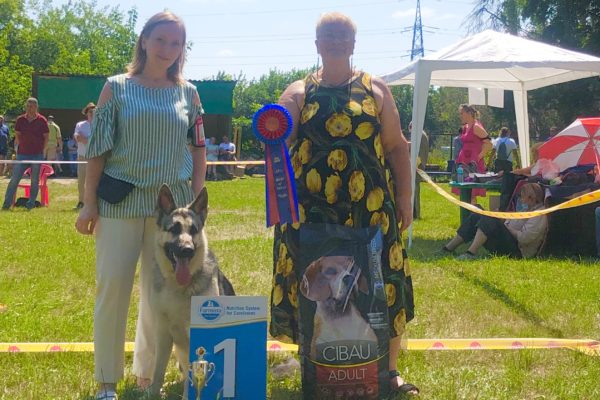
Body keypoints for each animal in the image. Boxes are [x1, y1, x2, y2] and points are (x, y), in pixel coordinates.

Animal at [149, 184, 235, 396]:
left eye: (194, 230)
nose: (187, 250)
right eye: (174, 229)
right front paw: (154, 393)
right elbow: (157, 373)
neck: (177, 287)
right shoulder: (163, 335)